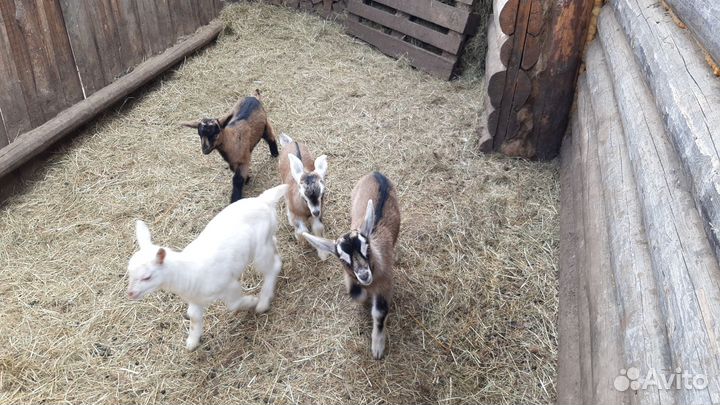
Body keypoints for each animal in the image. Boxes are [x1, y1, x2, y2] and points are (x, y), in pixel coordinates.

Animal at [127, 184, 288, 351]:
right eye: (129, 272)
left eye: (147, 277)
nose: (130, 293)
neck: (186, 272)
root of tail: (264, 200)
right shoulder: (195, 299)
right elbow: (194, 317)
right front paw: (192, 342)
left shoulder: (229, 284)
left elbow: (234, 304)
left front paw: (251, 301)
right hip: (266, 240)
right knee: (274, 248)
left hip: (259, 250)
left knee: (272, 267)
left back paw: (263, 302)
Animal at [303, 172, 400, 359]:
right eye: (342, 259)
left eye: (367, 248)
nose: (364, 275)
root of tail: (376, 173)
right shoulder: (349, 279)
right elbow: (355, 293)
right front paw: (363, 300)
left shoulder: (386, 285)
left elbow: (379, 313)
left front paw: (377, 349)